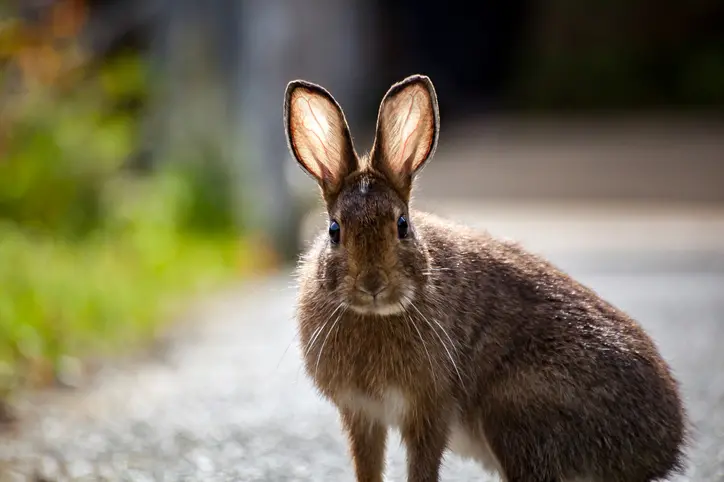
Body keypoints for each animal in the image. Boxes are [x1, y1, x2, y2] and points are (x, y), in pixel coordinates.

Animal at [283, 74, 687, 482]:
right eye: (335, 230)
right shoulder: (363, 413)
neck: (375, 315)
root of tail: (662, 448)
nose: (372, 285)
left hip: (517, 413)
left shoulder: (431, 407)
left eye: (402, 225)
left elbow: (422, 466)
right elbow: (368, 467)